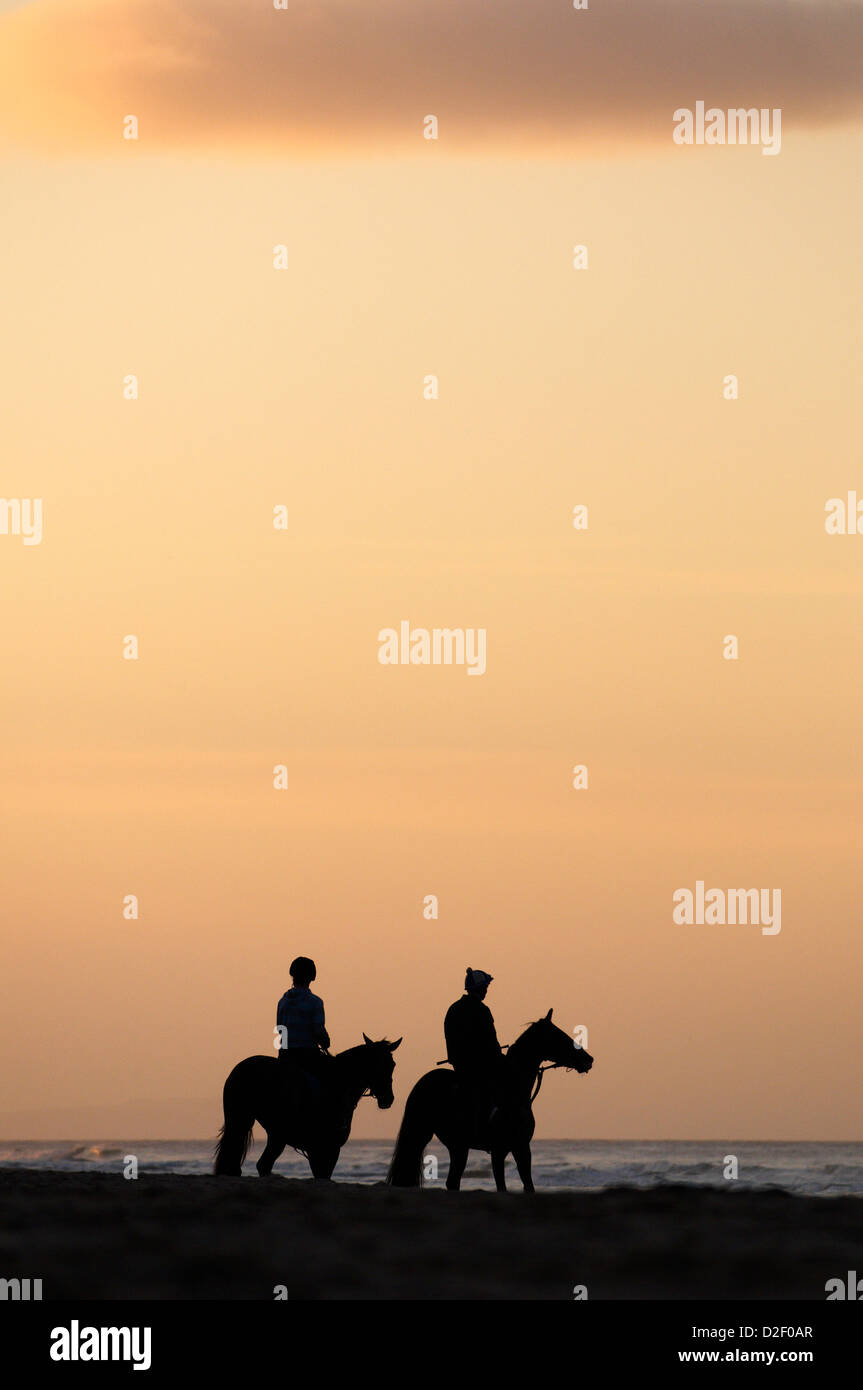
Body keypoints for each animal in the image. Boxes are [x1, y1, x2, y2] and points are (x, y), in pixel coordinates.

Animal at [215, 1039, 403, 1178]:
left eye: (392, 1064)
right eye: (378, 1064)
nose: (388, 1098)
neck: (341, 1080)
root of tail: (243, 1070)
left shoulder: (316, 1150)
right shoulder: (328, 1147)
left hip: (251, 1125)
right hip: (274, 1132)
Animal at [386, 1011, 589, 1195]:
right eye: (559, 1036)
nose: (589, 1060)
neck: (512, 1093)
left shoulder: (522, 1147)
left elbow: (529, 1185)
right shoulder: (499, 1151)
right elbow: (502, 1187)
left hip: (458, 1145)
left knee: (453, 1181)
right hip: (424, 1135)